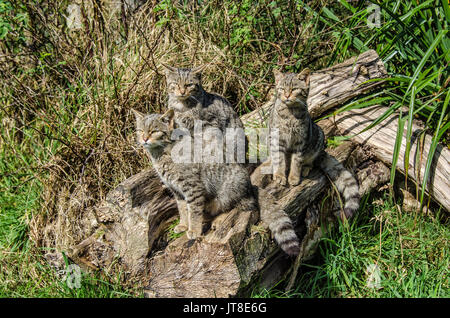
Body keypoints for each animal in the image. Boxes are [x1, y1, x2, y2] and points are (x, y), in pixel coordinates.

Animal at [268, 69, 360, 219]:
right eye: (281, 89)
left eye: (294, 89)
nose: (287, 95)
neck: (290, 113)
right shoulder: (277, 139)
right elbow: (280, 160)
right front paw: (280, 176)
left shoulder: (301, 142)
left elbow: (296, 162)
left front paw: (294, 177)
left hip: (318, 140)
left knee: (310, 162)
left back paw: (305, 169)